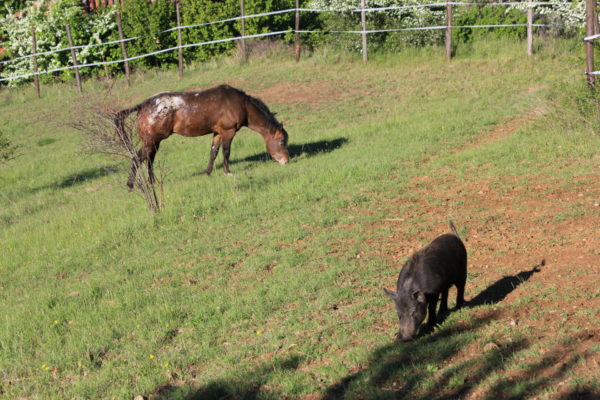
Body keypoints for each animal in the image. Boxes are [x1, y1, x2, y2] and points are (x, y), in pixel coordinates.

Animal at [115, 84, 290, 189]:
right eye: (282, 141)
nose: (287, 161)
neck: (240, 104)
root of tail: (142, 105)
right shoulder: (228, 132)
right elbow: (226, 152)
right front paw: (227, 172)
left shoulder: (218, 133)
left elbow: (213, 152)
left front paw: (208, 172)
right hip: (151, 141)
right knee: (138, 158)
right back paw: (130, 185)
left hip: (154, 142)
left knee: (149, 160)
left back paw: (153, 182)